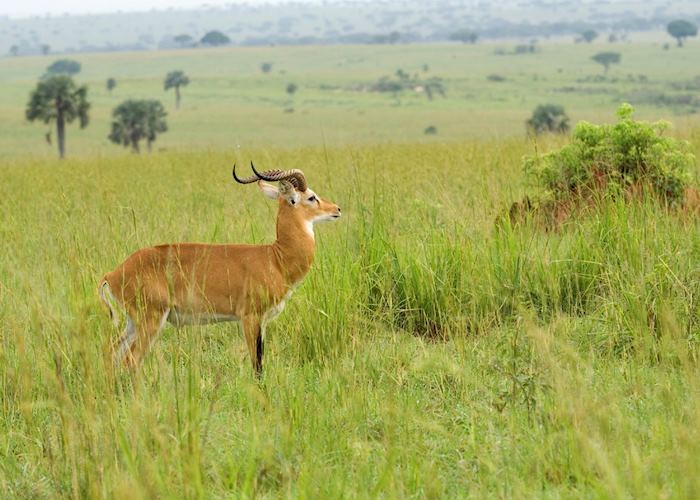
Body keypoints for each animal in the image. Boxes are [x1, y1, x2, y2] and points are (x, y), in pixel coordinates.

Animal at [98, 164, 342, 376]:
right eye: (311, 197)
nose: (337, 209)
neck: (276, 258)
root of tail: (113, 274)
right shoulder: (250, 317)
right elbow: (257, 364)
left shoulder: (262, 321)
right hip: (151, 319)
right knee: (130, 360)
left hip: (133, 322)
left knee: (111, 352)